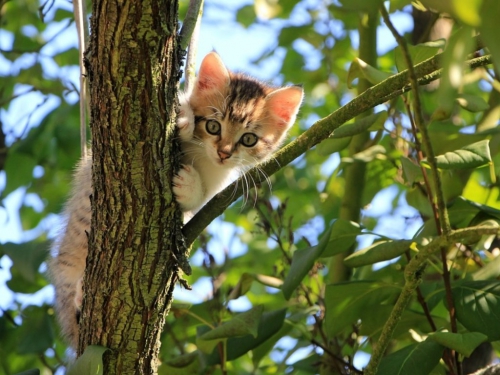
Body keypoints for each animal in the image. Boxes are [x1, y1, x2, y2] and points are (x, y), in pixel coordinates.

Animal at [49, 50, 304, 350]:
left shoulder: (217, 184)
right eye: (213, 125)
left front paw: (189, 185)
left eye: (249, 139)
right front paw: (183, 118)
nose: (224, 153)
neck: (202, 156)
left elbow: (199, 200)